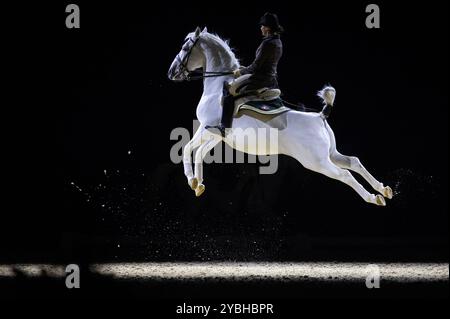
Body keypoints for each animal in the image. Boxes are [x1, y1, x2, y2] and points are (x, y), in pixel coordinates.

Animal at [167, 27, 392, 208]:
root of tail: (320, 117)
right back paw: (383, 190)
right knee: (353, 162)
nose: (171, 73)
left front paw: (192, 179)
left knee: (344, 174)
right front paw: (198, 184)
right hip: (330, 154)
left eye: (185, 48)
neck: (217, 87)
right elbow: (199, 153)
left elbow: (187, 148)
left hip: (317, 162)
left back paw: (373, 198)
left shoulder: (206, 128)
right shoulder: (217, 135)